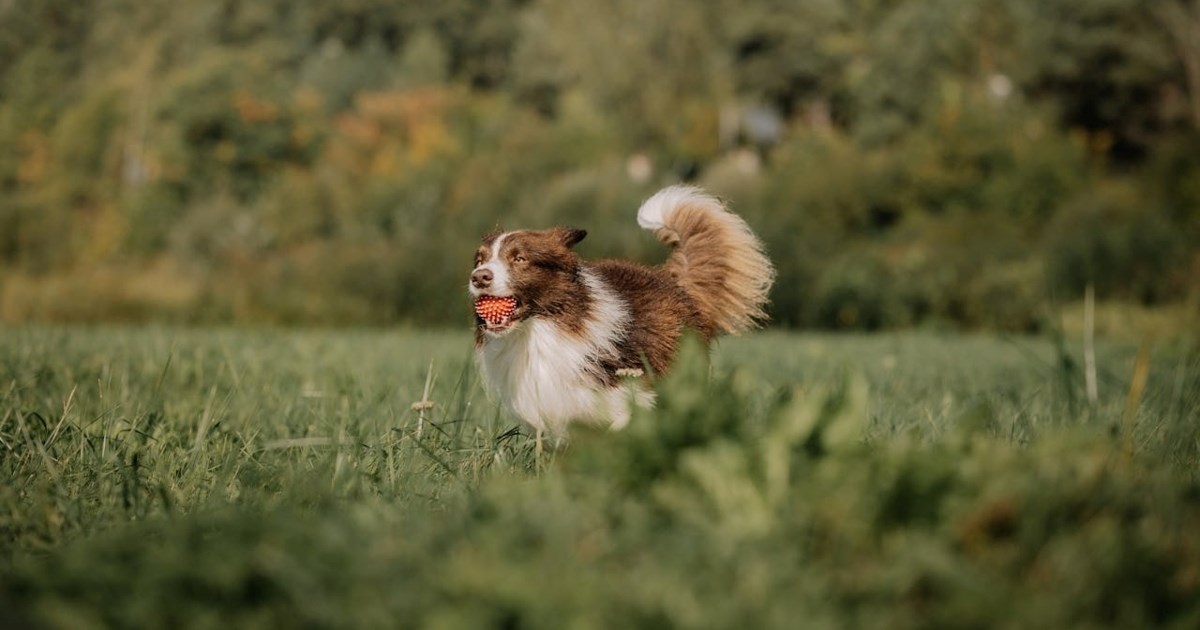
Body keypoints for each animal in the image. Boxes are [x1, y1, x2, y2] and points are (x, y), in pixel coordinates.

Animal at [463, 184, 772, 441]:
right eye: (480, 259)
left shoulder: (632, 395)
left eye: (519, 259)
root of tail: (672, 280)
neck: (538, 331)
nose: (478, 277)